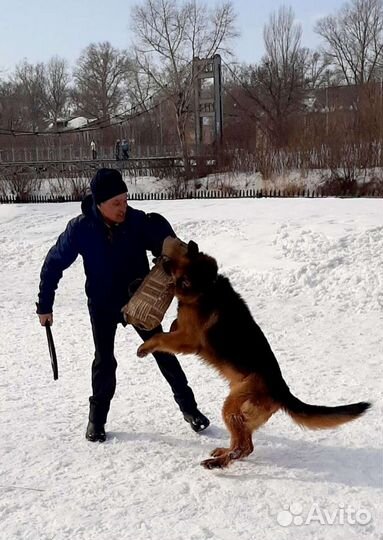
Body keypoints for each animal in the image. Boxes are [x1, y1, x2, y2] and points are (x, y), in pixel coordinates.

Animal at [136, 237, 370, 468]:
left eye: (170, 260)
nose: (157, 257)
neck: (206, 284)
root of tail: (282, 390)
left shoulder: (188, 339)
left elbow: (161, 337)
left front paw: (144, 348)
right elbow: (172, 327)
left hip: (232, 405)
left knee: (244, 447)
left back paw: (218, 462)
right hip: (241, 411)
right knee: (243, 443)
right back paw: (223, 454)